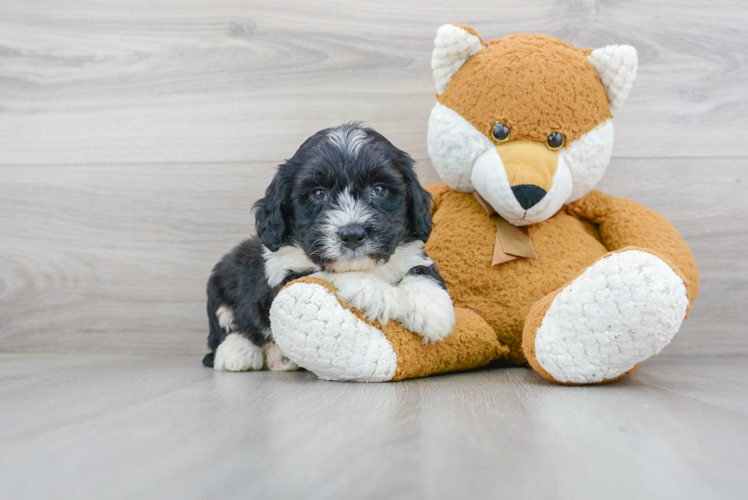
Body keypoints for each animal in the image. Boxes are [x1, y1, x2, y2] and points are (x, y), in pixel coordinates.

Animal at [202, 122, 456, 372]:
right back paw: (238, 352)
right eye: (318, 193)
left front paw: (430, 307)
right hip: (220, 284)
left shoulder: (413, 252)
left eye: (379, 189)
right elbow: (320, 273)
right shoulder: (278, 275)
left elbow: (421, 269)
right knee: (224, 332)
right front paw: (373, 290)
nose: (352, 234)